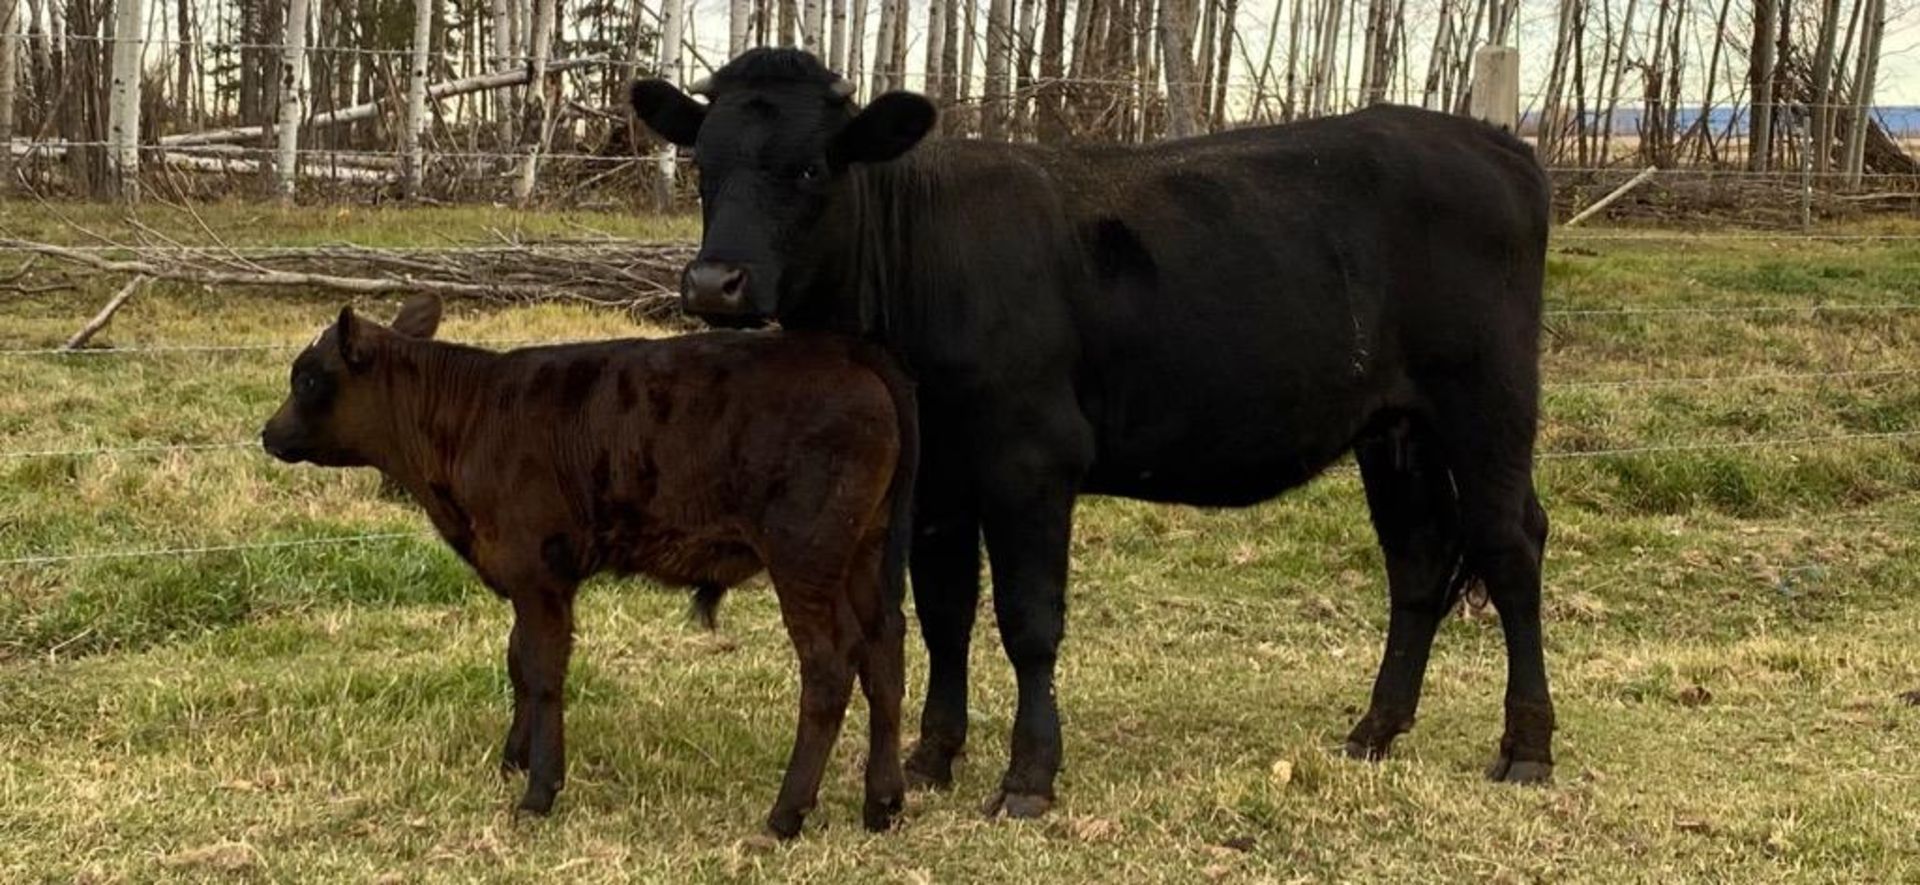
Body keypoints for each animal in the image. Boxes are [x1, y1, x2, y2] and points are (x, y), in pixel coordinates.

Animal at [261, 297, 913, 833]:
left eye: (309, 378)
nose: (268, 433)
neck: (471, 419)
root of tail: (843, 349)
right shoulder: (532, 576)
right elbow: (518, 660)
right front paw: (513, 756)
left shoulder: (537, 571)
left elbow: (544, 670)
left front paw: (539, 791)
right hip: (865, 552)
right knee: (884, 650)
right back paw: (882, 803)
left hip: (804, 556)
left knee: (829, 666)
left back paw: (785, 814)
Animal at [629, 48, 1559, 817]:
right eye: (704, 165)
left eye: (813, 166)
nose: (714, 282)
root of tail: (1494, 144)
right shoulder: (939, 476)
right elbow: (945, 613)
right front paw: (933, 756)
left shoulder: (1031, 459)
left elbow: (1028, 620)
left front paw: (1028, 777)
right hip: (1395, 426)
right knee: (1420, 558)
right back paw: (1374, 730)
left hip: (1487, 399)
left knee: (1510, 546)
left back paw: (1526, 748)